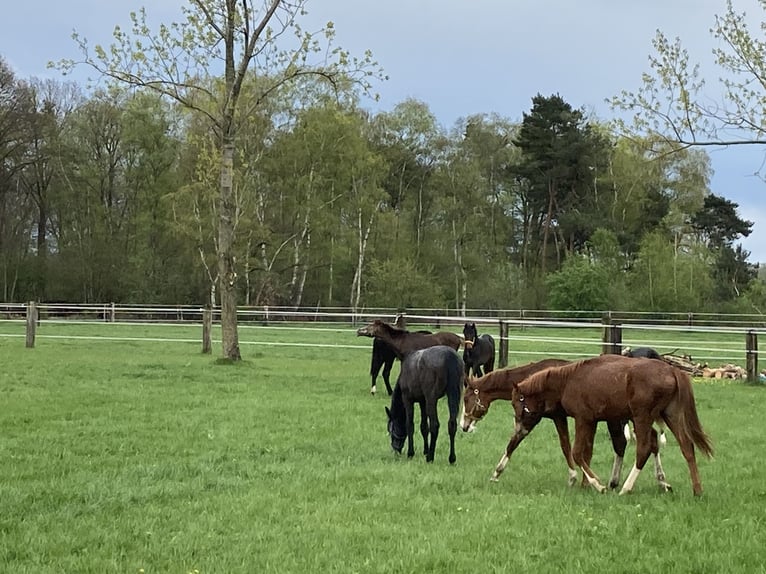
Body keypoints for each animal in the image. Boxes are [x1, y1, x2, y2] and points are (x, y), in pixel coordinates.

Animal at [460, 360, 664, 490]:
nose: (463, 425)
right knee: (646, 441)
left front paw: (574, 478)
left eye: (466, 398)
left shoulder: (550, 417)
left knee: (627, 443)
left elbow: (563, 445)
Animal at [498, 356, 712, 496]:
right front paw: (587, 484)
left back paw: (626, 488)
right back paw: (697, 490)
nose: (518, 431)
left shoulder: (582, 419)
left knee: (644, 449)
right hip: (670, 414)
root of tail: (672, 370)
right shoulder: (592, 421)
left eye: (517, 403)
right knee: (687, 446)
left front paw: (598, 485)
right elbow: (587, 452)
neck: (568, 380)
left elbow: (577, 452)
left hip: (642, 417)